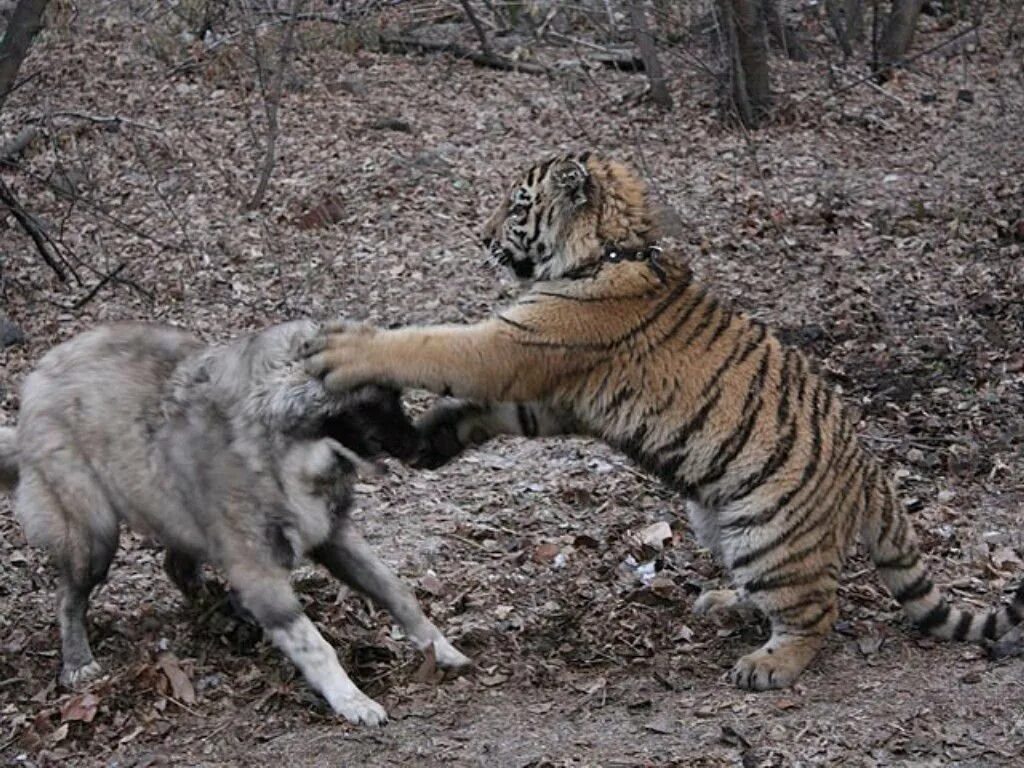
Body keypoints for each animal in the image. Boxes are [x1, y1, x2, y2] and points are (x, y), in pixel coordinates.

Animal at [301, 151, 1024, 692]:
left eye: (516, 204)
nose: (479, 239)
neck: (606, 251)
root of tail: (872, 474)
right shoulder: (549, 390)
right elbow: (479, 409)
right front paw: (429, 438)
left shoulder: (514, 347)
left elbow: (430, 344)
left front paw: (340, 348)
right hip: (718, 519)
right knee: (775, 593)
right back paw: (723, 603)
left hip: (769, 533)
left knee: (818, 611)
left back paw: (766, 666)